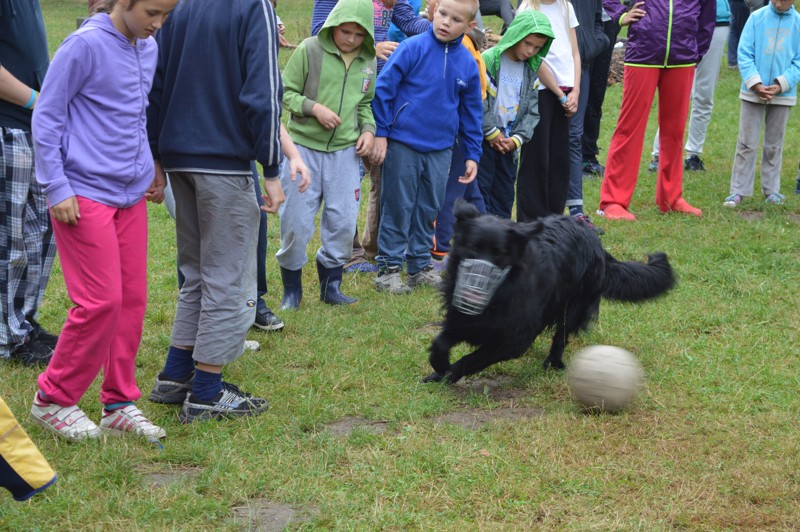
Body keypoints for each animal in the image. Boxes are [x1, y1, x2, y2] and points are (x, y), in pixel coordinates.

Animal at [424, 202, 676, 384]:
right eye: (473, 249)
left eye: (500, 255)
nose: (471, 292)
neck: (501, 291)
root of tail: (596, 242)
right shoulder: (463, 318)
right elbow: (441, 342)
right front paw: (439, 369)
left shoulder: (512, 338)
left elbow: (476, 357)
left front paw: (451, 372)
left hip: (574, 305)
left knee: (561, 335)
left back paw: (553, 362)